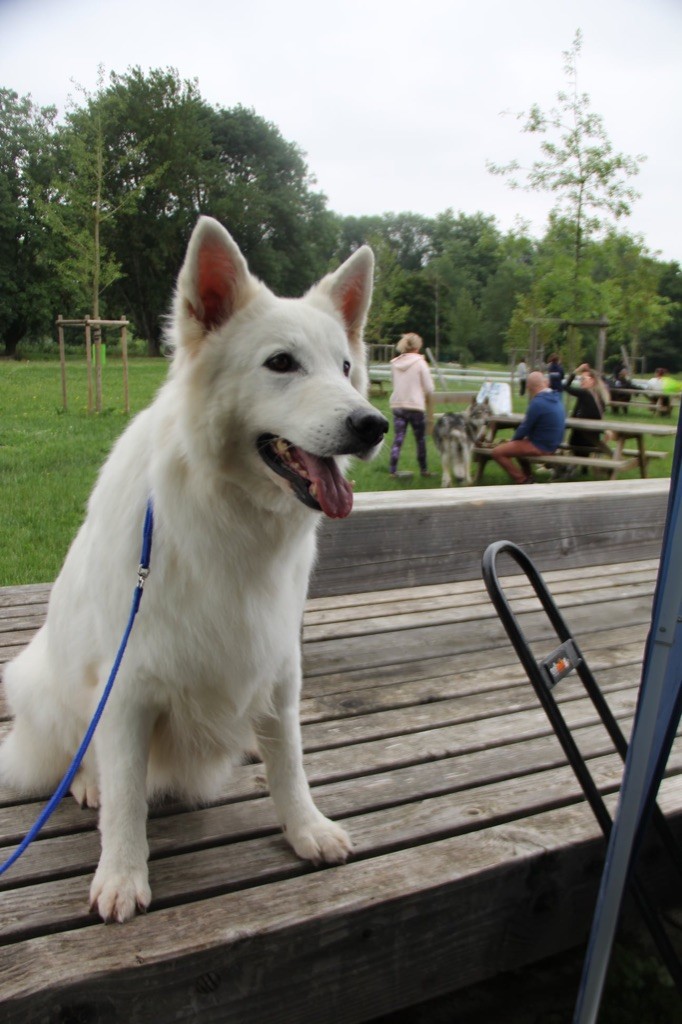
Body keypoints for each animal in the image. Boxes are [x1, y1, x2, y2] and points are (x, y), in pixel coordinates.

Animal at [0, 216, 385, 921]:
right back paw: (87, 782)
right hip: (44, 683)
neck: (229, 516)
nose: (372, 424)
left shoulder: (277, 664)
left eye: (346, 368)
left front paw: (305, 829)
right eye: (281, 363)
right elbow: (128, 793)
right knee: (78, 755)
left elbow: (289, 764)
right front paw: (123, 875)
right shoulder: (126, 687)